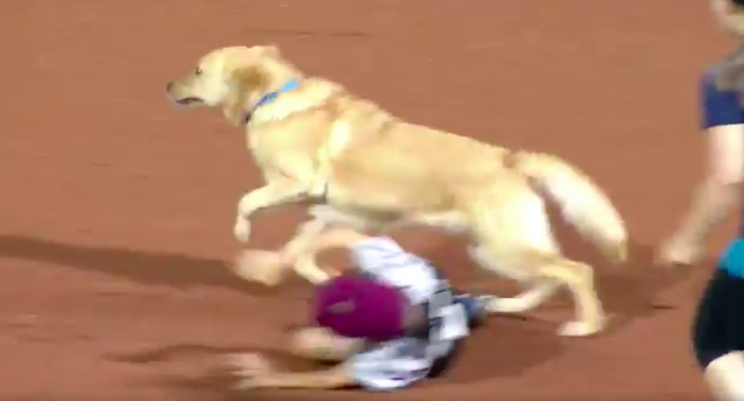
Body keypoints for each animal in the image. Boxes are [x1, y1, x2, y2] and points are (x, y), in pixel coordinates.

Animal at [167, 45, 628, 336]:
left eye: (198, 70)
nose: (167, 86)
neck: (276, 99)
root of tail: (509, 158)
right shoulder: (328, 212)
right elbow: (298, 251)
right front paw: (305, 275)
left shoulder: (297, 185)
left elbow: (248, 202)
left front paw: (245, 236)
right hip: (493, 249)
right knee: (549, 278)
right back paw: (506, 307)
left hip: (503, 248)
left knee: (575, 272)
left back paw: (585, 326)